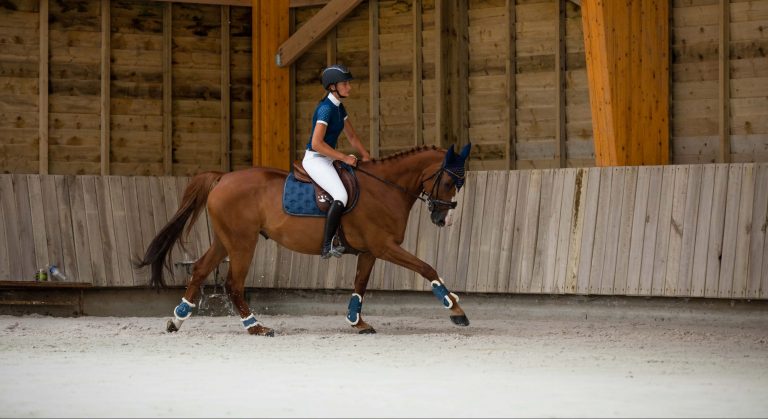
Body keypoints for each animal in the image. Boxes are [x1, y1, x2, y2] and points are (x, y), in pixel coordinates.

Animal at [135, 143, 472, 336]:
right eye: (448, 181)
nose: (444, 220)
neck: (385, 187)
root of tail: (223, 177)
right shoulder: (384, 246)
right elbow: (426, 267)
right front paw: (455, 309)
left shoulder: (369, 251)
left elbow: (360, 284)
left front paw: (356, 321)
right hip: (243, 243)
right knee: (233, 284)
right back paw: (255, 327)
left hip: (224, 240)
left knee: (200, 270)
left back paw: (177, 319)